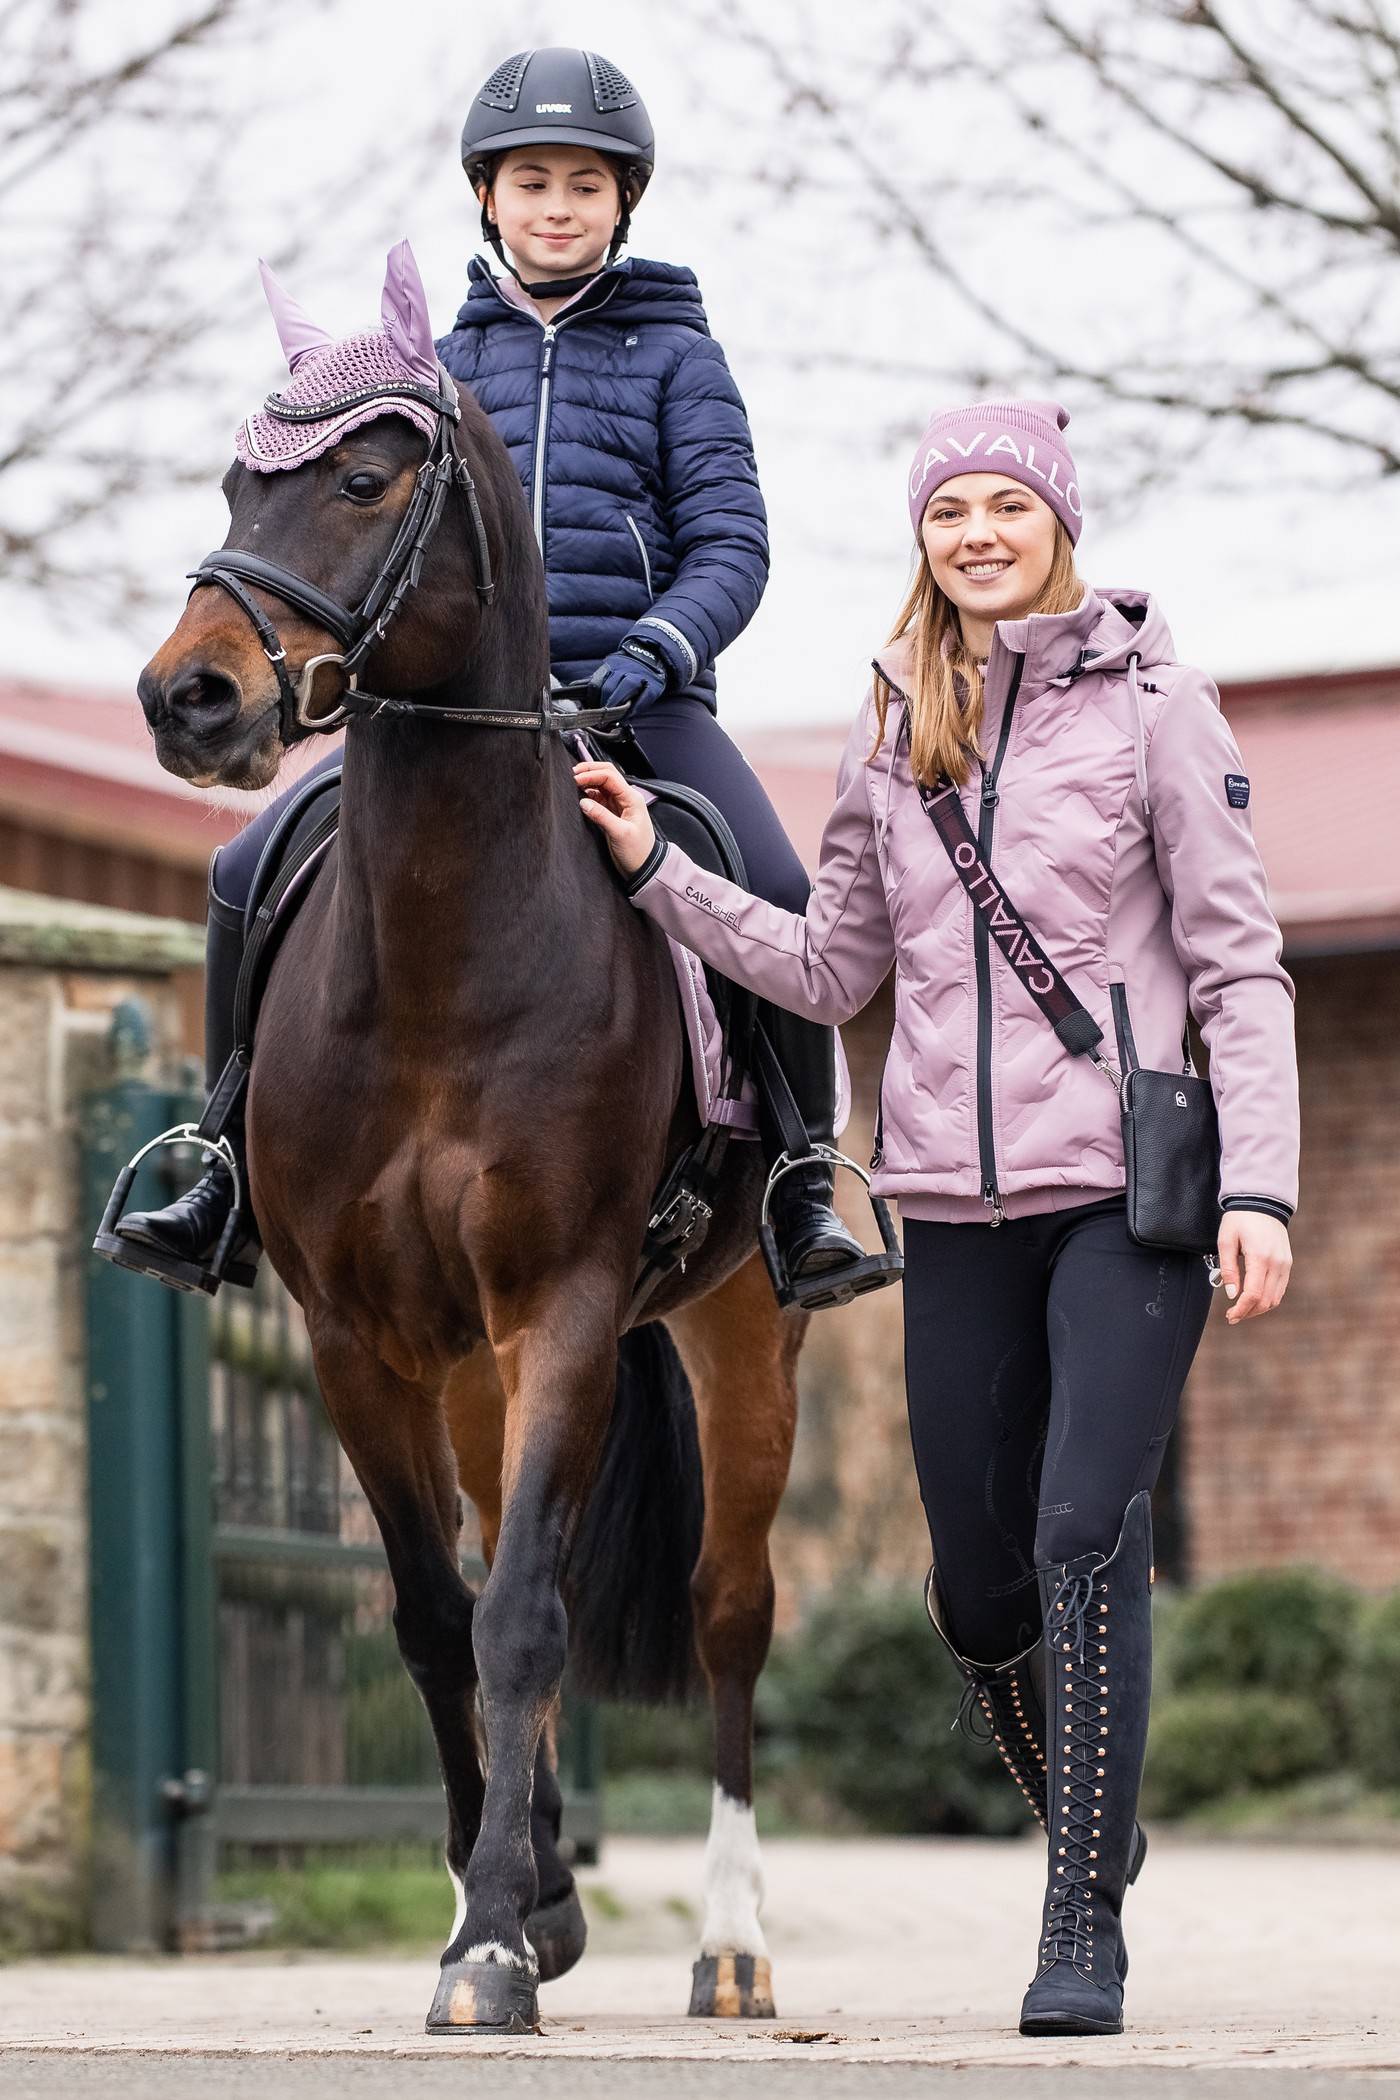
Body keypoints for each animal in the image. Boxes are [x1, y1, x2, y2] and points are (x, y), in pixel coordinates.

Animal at [132, 248, 809, 2035]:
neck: (449, 953)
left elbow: (520, 1623)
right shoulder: (360, 1338)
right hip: (476, 1371)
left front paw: (495, 1949)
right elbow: (445, 1619)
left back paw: (730, 1946)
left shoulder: (562, 1304)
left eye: (365, 482)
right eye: (237, 483)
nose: (189, 698)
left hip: (736, 1326)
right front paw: (507, 1910)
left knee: (726, 1613)